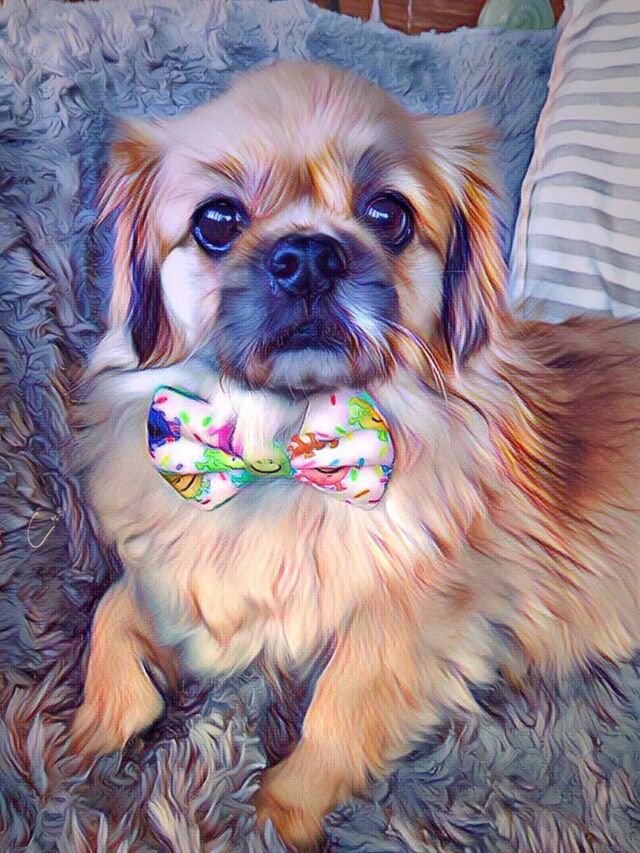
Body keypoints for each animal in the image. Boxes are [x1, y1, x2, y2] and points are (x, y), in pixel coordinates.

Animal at [70, 61, 640, 850]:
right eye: (217, 222)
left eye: (388, 214)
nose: (310, 253)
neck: (284, 442)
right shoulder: (183, 585)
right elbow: (112, 611)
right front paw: (89, 737)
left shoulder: (414, 623)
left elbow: (341, 706)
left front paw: (277, 814)